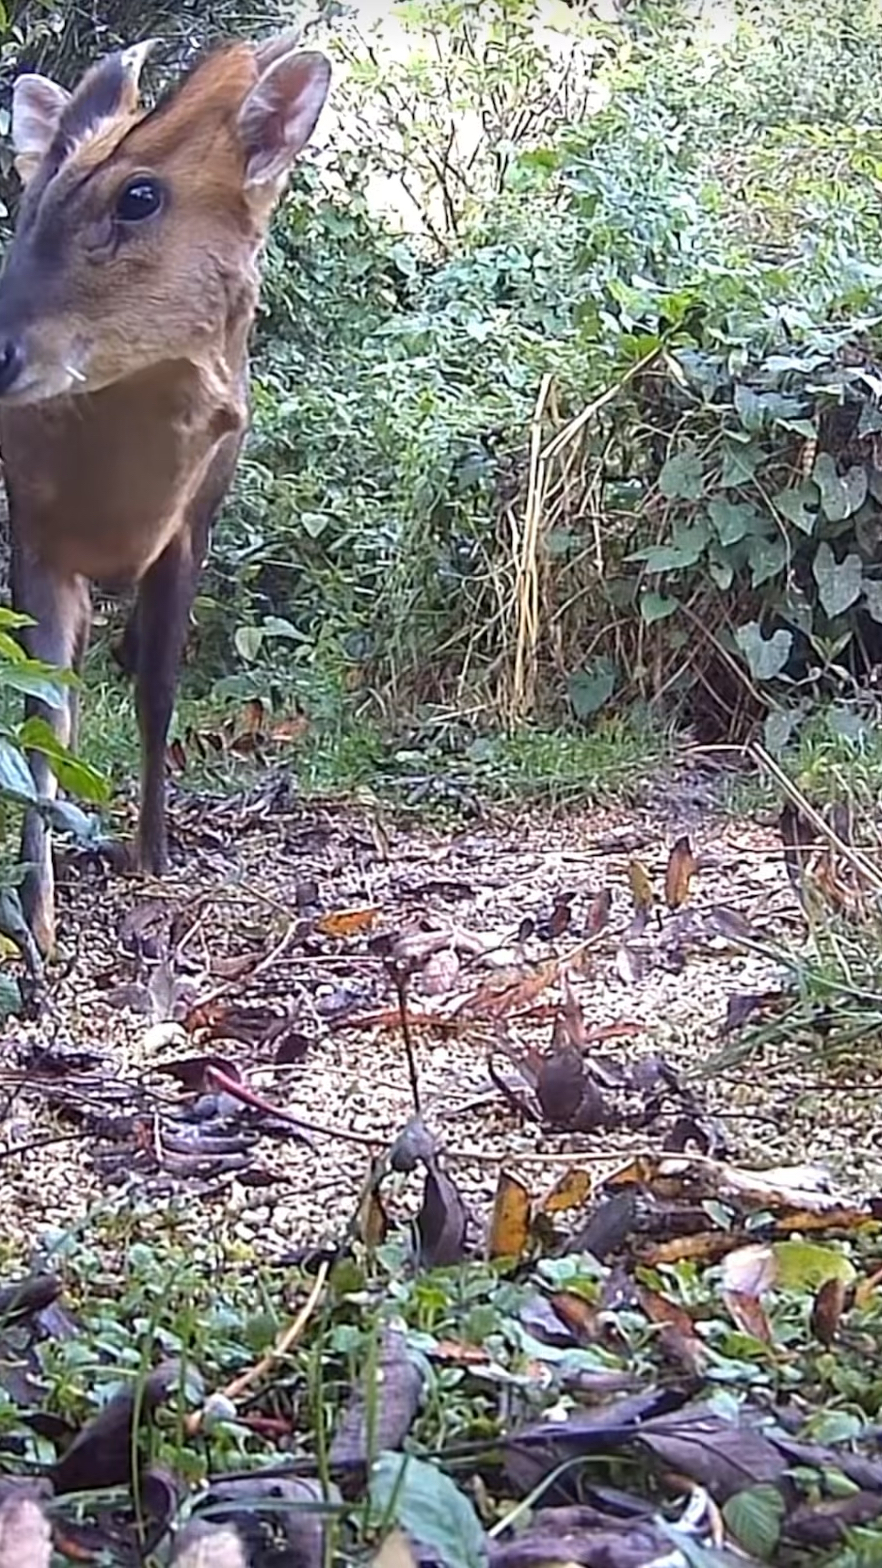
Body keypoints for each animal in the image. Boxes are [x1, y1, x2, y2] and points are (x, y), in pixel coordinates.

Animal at [0, 30, 329, 947]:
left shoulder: (194, 524)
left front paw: (153, 852)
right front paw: (36, 915)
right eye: (29, 205)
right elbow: (43, 714)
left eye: (139, 196)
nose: (0, 353)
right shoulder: (30, 528)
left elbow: (156, 693)